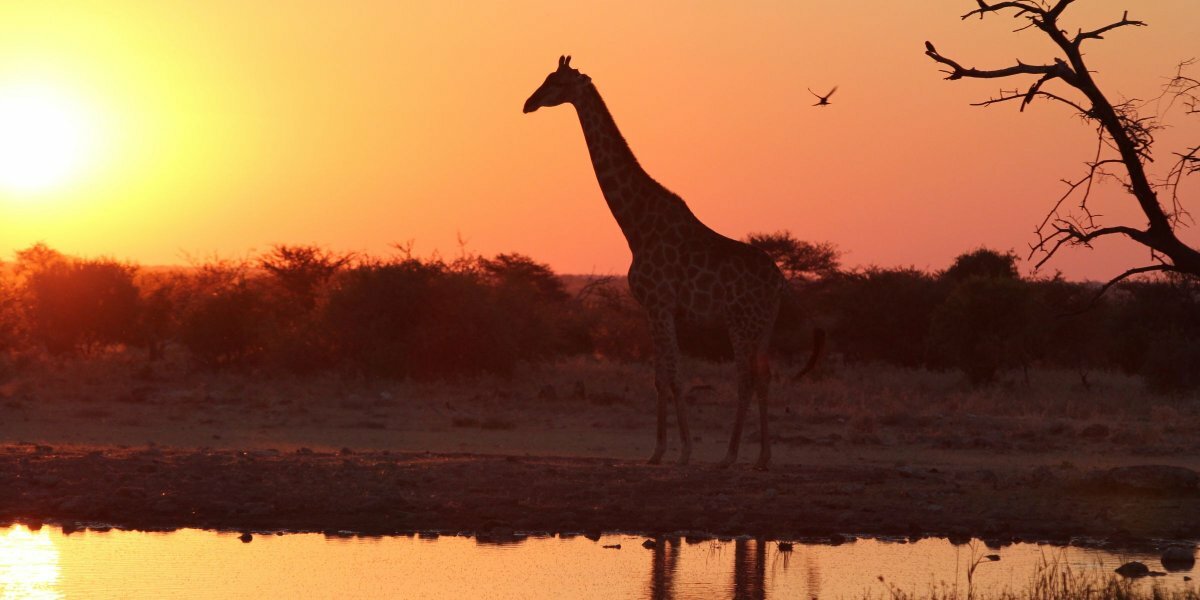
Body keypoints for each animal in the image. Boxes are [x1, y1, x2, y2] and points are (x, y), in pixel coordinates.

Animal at [523, 56, 822, 470]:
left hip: (740, 321)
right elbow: (661, 375)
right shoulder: (655, 308)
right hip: (763, 324)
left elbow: (672, 376)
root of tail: (780, 281)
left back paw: (729, 455)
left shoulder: (659, 304)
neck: (635, 224)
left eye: (557, 82)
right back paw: (762, 458)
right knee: (764, 375)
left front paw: (675, 450)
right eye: (546, 78)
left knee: (745, 377)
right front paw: (665, 449)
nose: (528, 103)